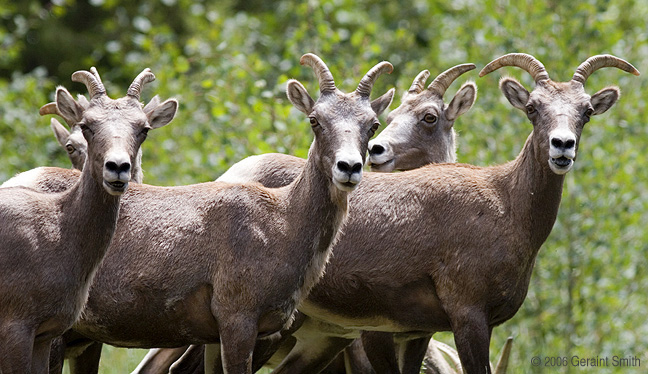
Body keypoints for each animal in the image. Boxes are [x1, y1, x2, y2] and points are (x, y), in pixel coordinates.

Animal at [48, 53, 392, 374]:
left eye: (373, 124)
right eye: (314, 120)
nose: (349, 167)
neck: (284, 223)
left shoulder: (231, 335)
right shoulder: (238, 320)